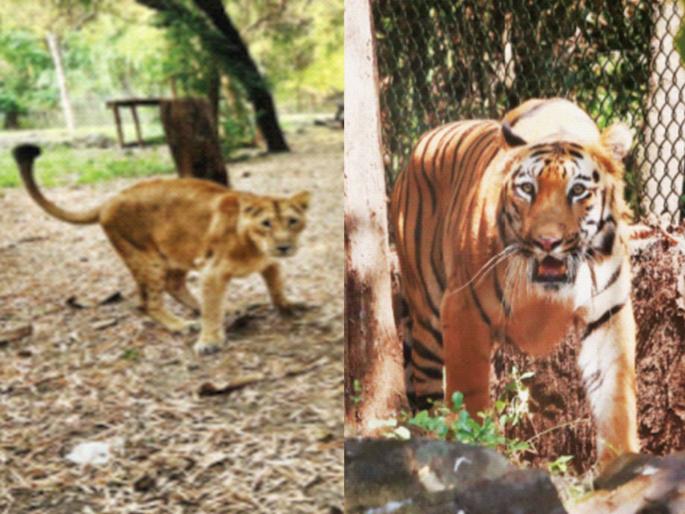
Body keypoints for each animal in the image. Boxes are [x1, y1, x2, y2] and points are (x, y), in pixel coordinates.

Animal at [390, 98, 639, 467]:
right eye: (528, 189)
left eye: (578, 191)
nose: (547, 241)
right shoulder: (464, 311)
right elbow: (470, 398)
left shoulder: (608, 316)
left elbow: (617, 398)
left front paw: (621, 466)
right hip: (428, 321)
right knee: (427, 397)